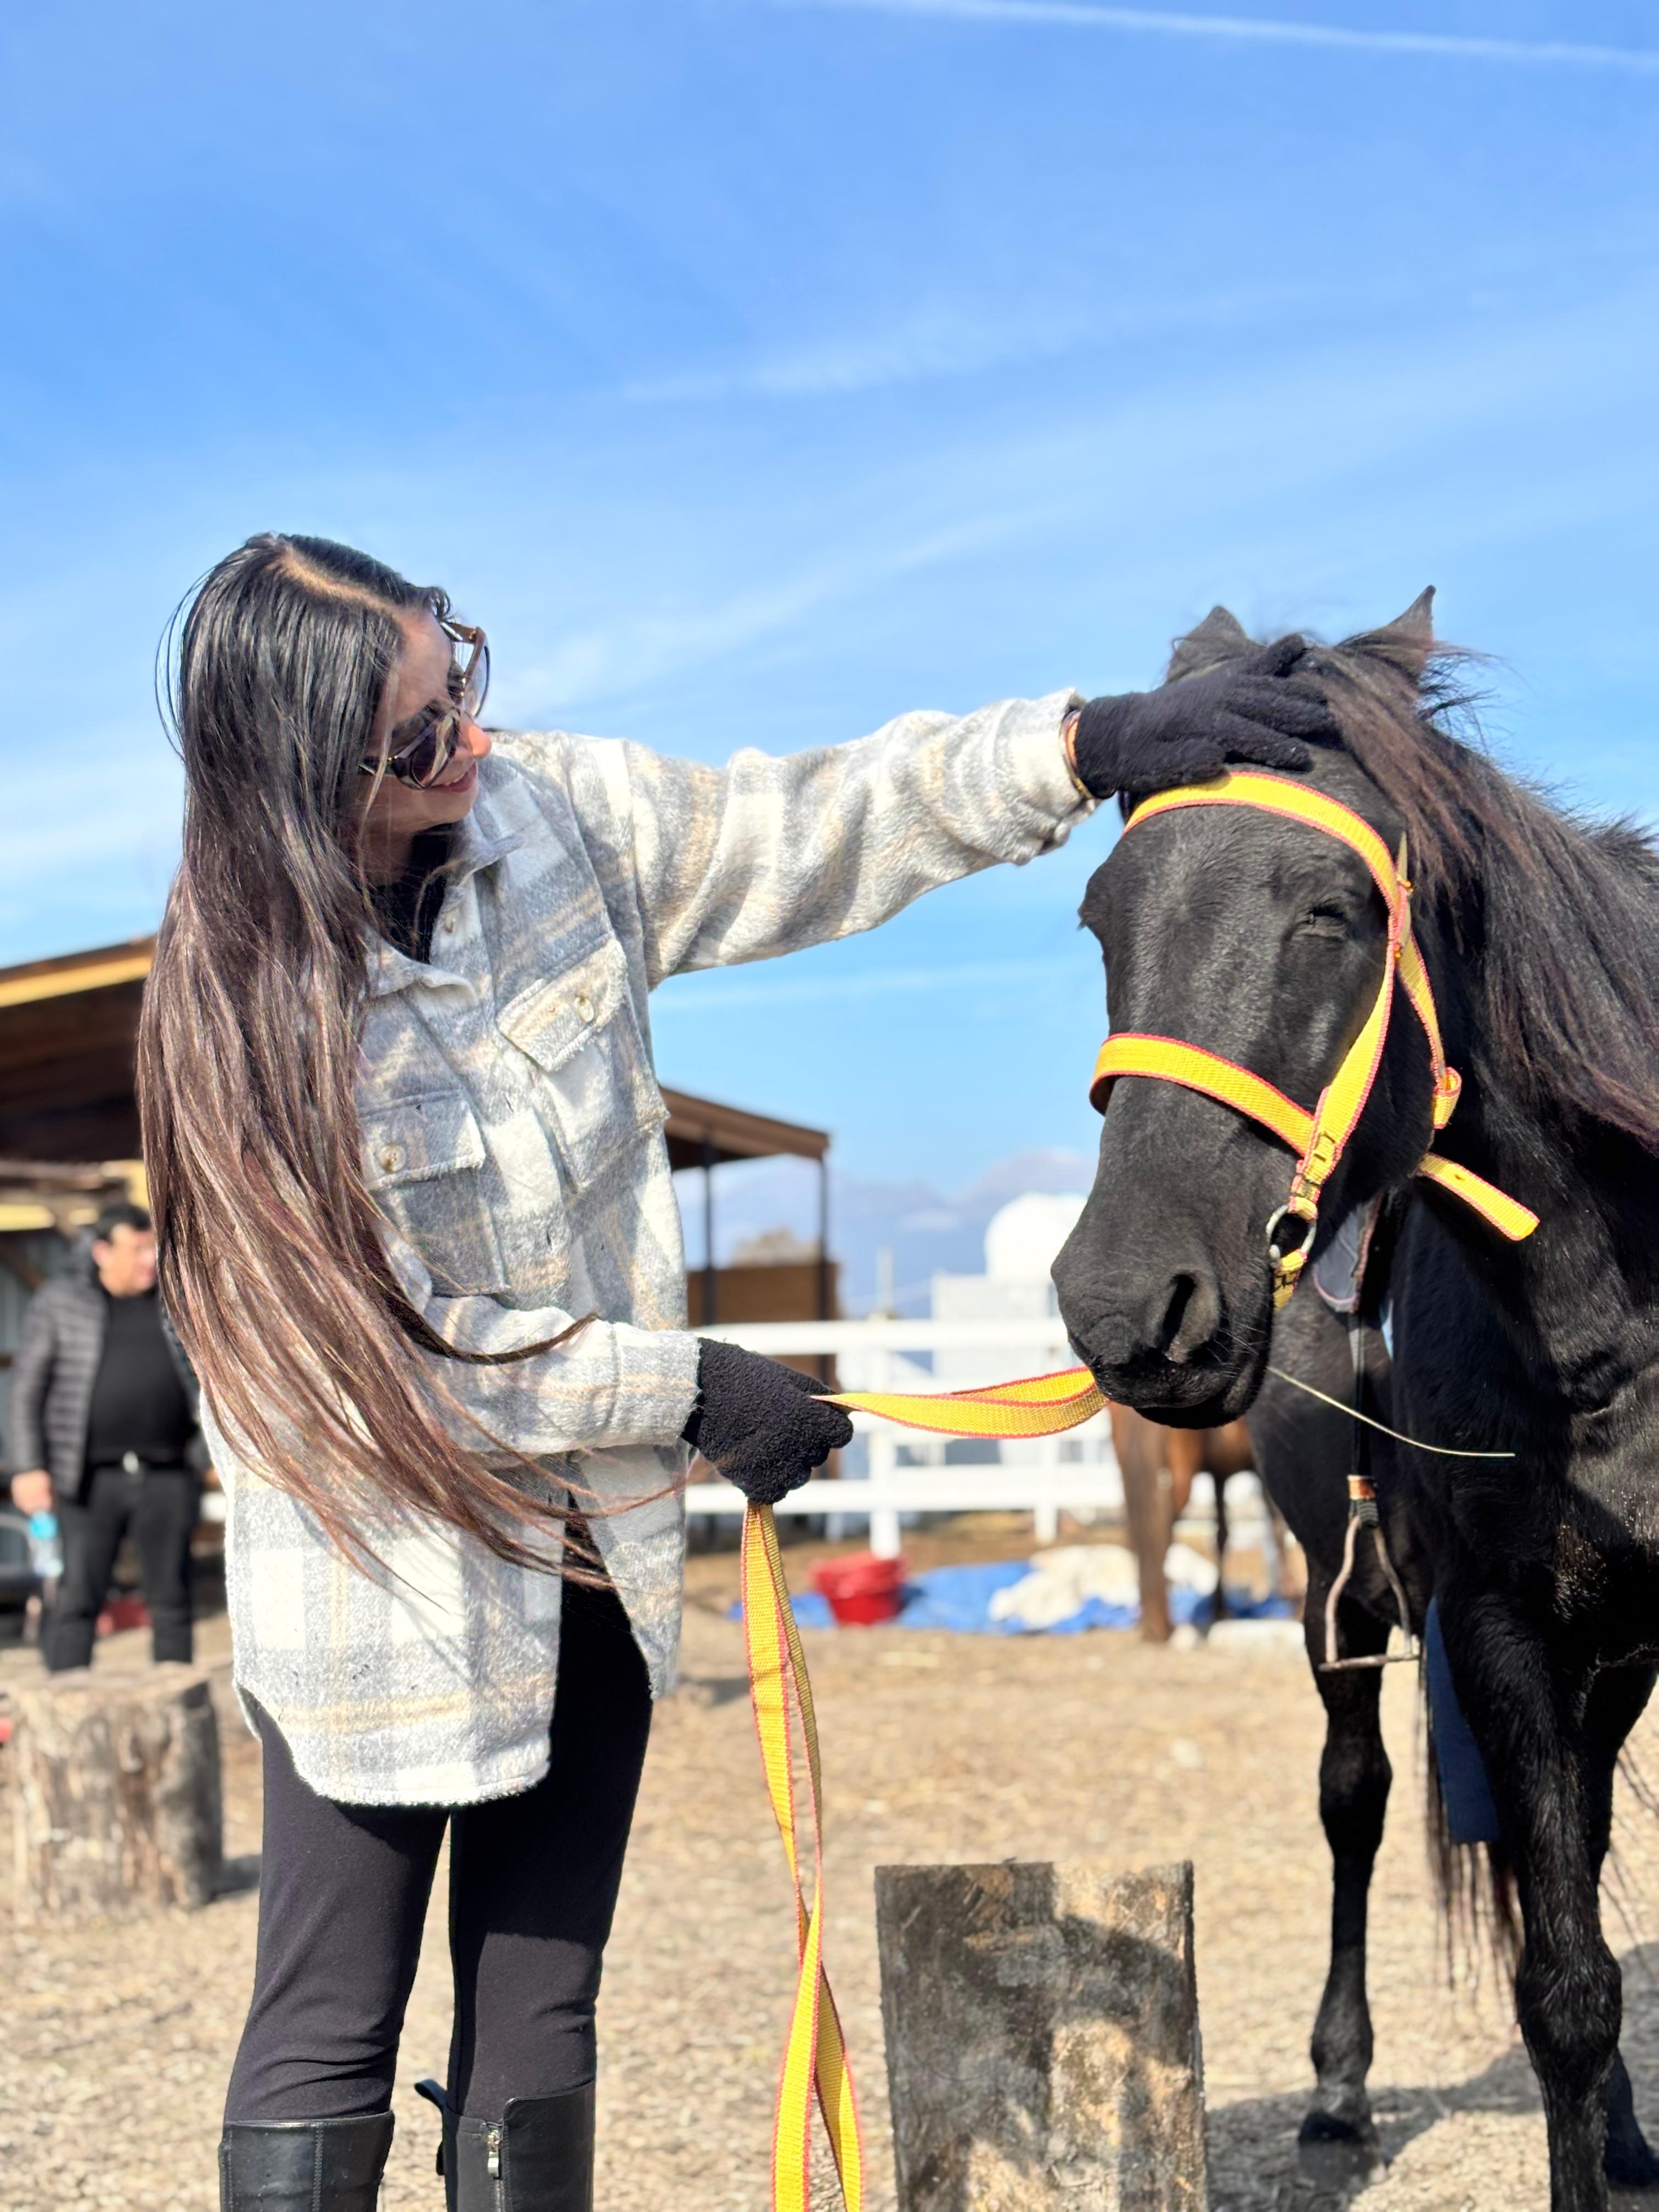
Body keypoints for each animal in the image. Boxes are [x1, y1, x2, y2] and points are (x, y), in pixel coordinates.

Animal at [1053, 592, 1659, 2211]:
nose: (1124, 1302)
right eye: (1102, 917)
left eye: (1334, 908)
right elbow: (1563, 1985)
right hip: (1350, 1577)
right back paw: (1339, 2087)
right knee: (1360, 1795)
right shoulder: (1500, 1617)